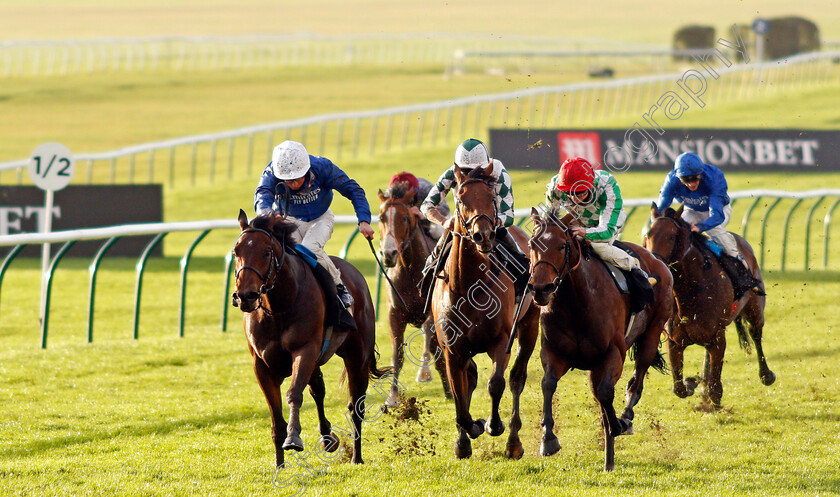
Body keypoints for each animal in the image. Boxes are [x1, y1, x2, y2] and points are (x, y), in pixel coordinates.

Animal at [230, 208, 388, 464]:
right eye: (236, 251)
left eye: (266, 252)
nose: (246, 295)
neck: (279, 307)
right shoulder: (261, 365)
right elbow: (276, 418)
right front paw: (279, 465)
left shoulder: (304, 350)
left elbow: (294, 393)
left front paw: (293, 437)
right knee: (318, 389)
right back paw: (328, 438)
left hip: (357, 355)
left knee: (356, 405)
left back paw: (356, 456)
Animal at [380, 182, 452, 404]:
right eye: (381, 218)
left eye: (404, 218)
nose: (389, 254)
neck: (410, 270)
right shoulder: (394, 313)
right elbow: (397, 355)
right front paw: (392, 397)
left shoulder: (431, 312)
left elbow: (429, 333)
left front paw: (424, 373)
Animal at [430, 165, 540, 460]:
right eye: (460, 198)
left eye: (491, 197)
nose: (483, 235)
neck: (469, 286)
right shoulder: (452, 350)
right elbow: (459, 396)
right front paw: (466, 436)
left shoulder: (501, 341)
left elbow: (496, 383)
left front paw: (492, 424)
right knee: (470, 378)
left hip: (530, 324)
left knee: (517, 378)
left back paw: (513, 442)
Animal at [528, 208, 672, 468]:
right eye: (532, 243)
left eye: (563, 245)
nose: (540, 289)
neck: (576, 303)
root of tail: (657, 260)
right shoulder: (554, 353)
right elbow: (548, 384)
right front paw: (548, 438)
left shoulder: (613, 353)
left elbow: (606, 392)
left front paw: (617, 425)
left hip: (652, 332)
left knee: (637, 380)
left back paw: (626, 417)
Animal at [648, 203, 776, 408]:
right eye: (648, 235)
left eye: (672, 236)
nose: (655, 265)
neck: (690, 292)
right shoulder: (674, 341)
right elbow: (679, 388)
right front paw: (692, 382)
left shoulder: (718, 337)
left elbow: (716, 390)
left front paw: (707, 394)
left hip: (755, 308)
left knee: (755, 334)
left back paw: (766, 375)